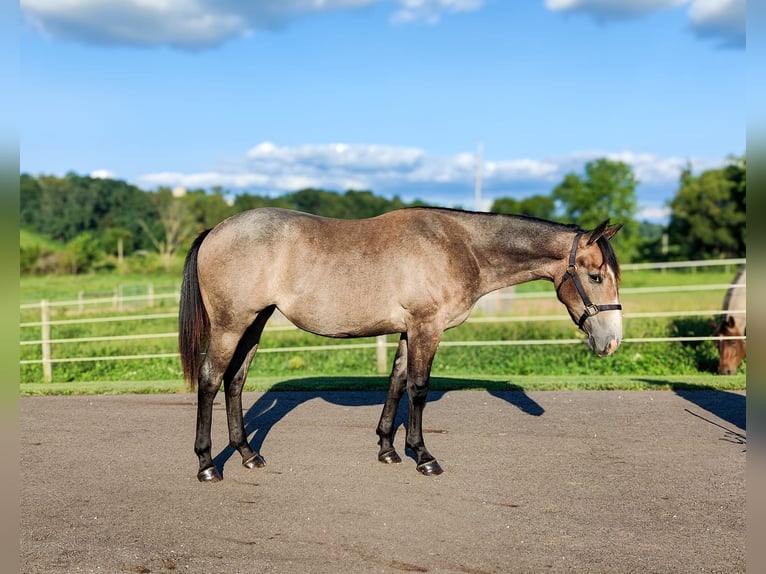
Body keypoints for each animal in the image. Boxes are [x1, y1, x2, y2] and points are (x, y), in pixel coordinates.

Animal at [178, 207, 623, 482]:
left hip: (254, 323)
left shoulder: (409, 331)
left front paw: (388, 449)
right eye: (596, 276)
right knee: (211, 381)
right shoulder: (427, 328)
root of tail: (216, 230)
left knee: (235, 382)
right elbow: (418, 389)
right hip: (231, 325)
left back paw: (247, 454)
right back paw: (207, 464)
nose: (612, 341)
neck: (459, 246)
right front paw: (423, 457)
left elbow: (395, 384)